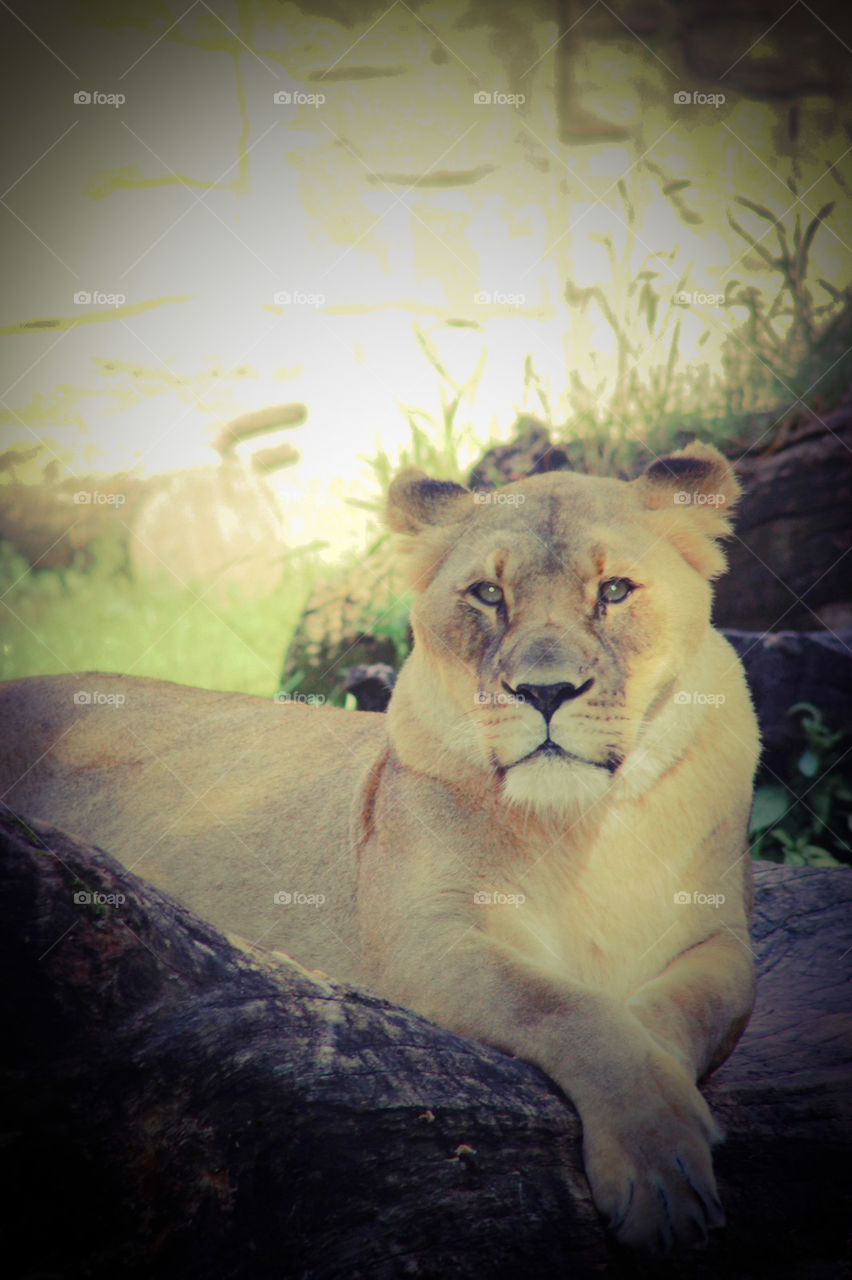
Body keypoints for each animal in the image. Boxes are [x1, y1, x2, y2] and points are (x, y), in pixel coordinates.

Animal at [0, 441, 759, 1253]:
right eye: (488, 594)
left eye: (615, 589)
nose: (545, 692)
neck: (583, 827)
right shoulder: (419, 943)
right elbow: (567, 1009)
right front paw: (660, 1163)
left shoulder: (722, 938)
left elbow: (679, 1013)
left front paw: (675, 1117)